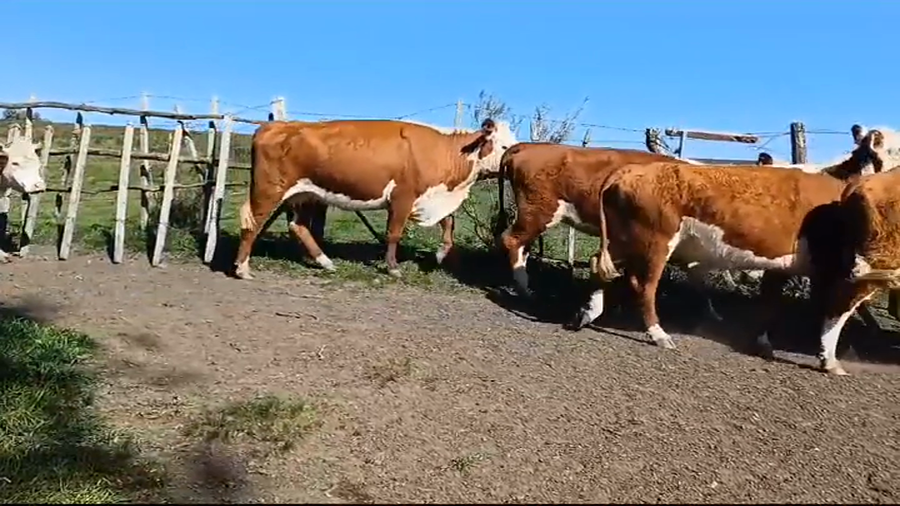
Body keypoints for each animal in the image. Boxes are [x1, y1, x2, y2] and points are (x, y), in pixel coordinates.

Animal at [233, 118, 518, 280]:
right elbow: (394, 233)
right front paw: (392, 267)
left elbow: (448, 223)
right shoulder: (403, 197)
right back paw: (242, 269)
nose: (514, 156)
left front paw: (440, 254)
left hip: (306, 194)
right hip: (269, 190)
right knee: (252, 223)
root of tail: (275, 125)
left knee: (298, 226)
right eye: (504, 145)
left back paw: (326, 262)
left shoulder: (431, 197)